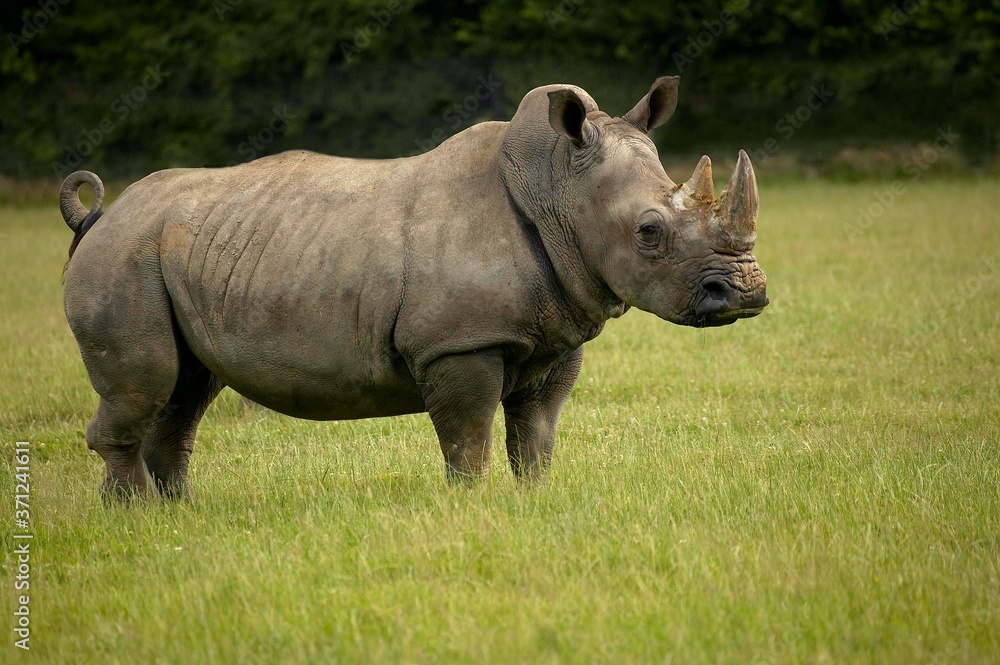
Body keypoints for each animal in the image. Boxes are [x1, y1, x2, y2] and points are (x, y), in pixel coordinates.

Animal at [60, 76, 767, 500]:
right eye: (649, 233)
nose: (747, 294)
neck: (559, 193)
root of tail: (100, 216)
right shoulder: (458, 343)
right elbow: (468, 439)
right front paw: (473, 508)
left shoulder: (558, 334)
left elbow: (536, 435)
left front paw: (535, 504)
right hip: (123, 260)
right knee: (147, 383)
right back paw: (137, 521)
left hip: (174, 257)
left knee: (186, 389)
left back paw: (178, 515)